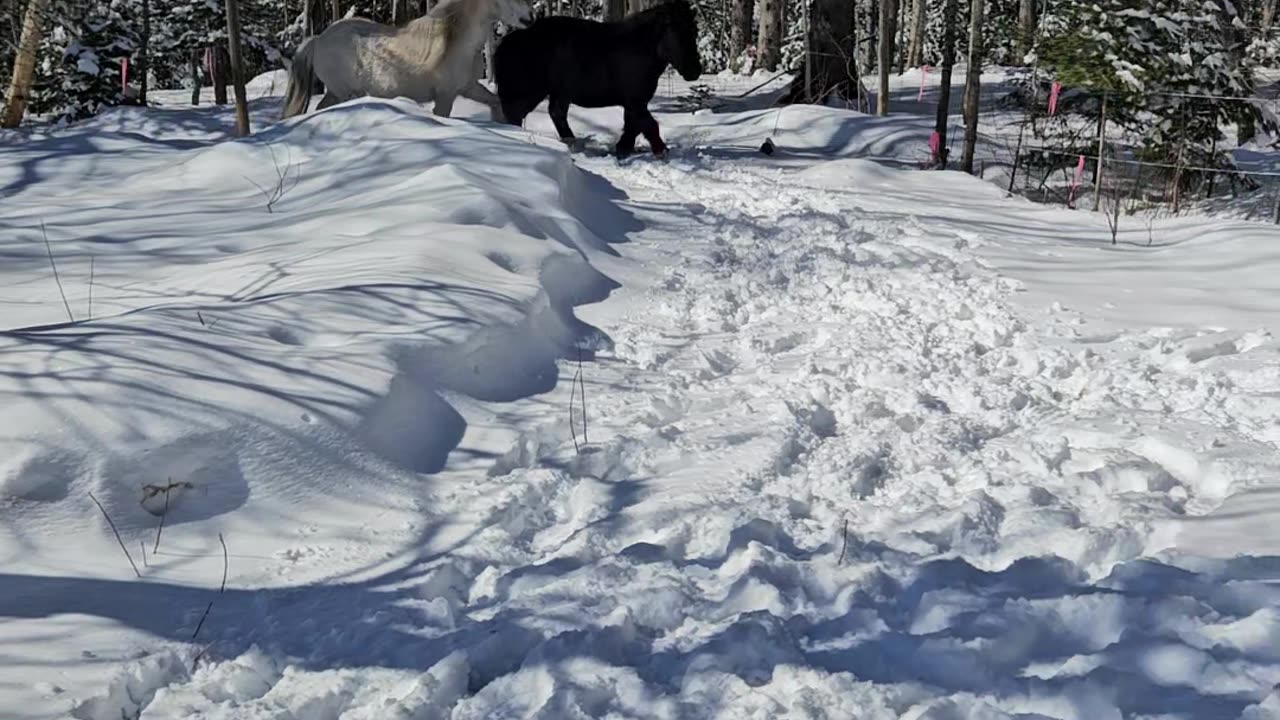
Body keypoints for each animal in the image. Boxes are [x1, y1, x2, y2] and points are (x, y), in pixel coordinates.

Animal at [282, 0, 532, 119]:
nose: (529, 19)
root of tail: (318, 40)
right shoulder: (445, 95)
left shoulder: (469, 88)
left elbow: (496, 102)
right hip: (345, 92)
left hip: (335, 93)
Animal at [494, 0, 706, 158]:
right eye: (677, 31)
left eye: (694, 30)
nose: (695, 70)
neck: (640, 47)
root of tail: (508, 41)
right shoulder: (635, 101)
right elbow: (649, 125)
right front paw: (660, 151)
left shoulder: (634, 103)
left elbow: (633, 126)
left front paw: (623, 149)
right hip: (528, 93)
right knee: (516, 115)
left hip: (560, 92)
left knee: (556, 113)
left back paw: (571, 143)